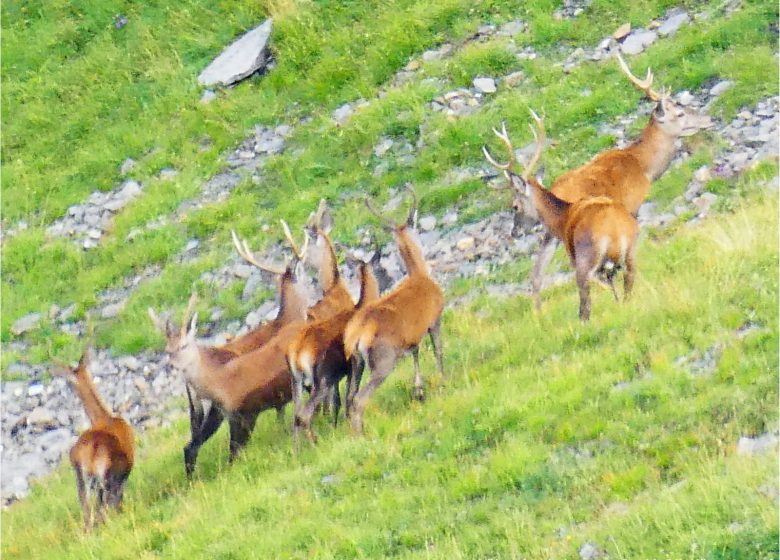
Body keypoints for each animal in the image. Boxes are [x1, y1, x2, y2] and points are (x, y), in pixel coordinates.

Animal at [51, 344, 135, 532]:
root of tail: (92, 450)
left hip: (80, 476)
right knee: (102, 508)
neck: (104, 417)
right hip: (105, 476)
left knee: (87, 509)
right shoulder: (125, 471)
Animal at [342, 186, 444, 436]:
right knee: (359, 399)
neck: (421, 276)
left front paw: (419, 390)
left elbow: (416, 354)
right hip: (383, 360)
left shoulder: (412, 337)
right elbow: (438, 351)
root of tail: (356, 335)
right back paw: (361, 434)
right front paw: (443, 380)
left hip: (356, 363)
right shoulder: (435, 318)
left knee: (349, 397)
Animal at [482, 111, 640, 322]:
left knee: (585, 306)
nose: (514, 232)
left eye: (514, 206)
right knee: (628, 284)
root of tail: (615, 229)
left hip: (586, 258)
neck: (562, 218)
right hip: (630, 252)